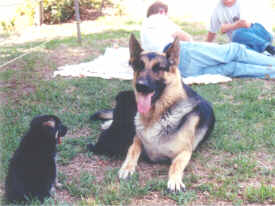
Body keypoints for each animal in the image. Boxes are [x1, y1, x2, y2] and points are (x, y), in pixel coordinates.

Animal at [118, 34, 216, 192]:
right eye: (139, 66)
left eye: (158, 68)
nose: (140, 86)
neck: (156, 116)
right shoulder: (137, 139)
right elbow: (132, 149)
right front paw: (127, 167)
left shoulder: (184, 152)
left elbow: (175, 165)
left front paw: (174, 180)